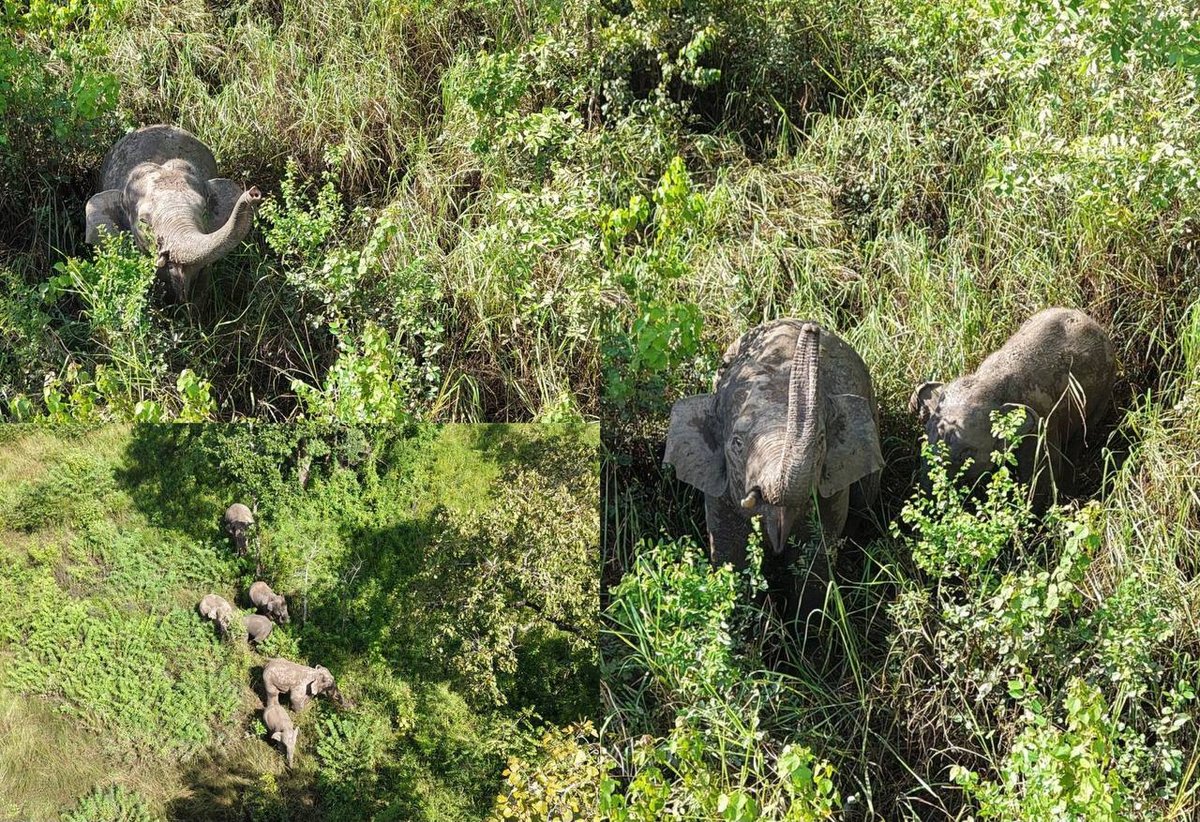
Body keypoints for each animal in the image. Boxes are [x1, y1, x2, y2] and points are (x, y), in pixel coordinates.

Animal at [663, 319, 884, 600]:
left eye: (821, 440)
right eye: (737, 444)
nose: (811, 328)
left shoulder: (833, 491)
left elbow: (813, 562)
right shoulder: (719, 493)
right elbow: (732, 555)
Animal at [909, 307, 1116, 499]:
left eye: (966, 455)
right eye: (925, 441)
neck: (989, 382)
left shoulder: (1042, 422)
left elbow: (1041, 473)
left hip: (1104, 392)